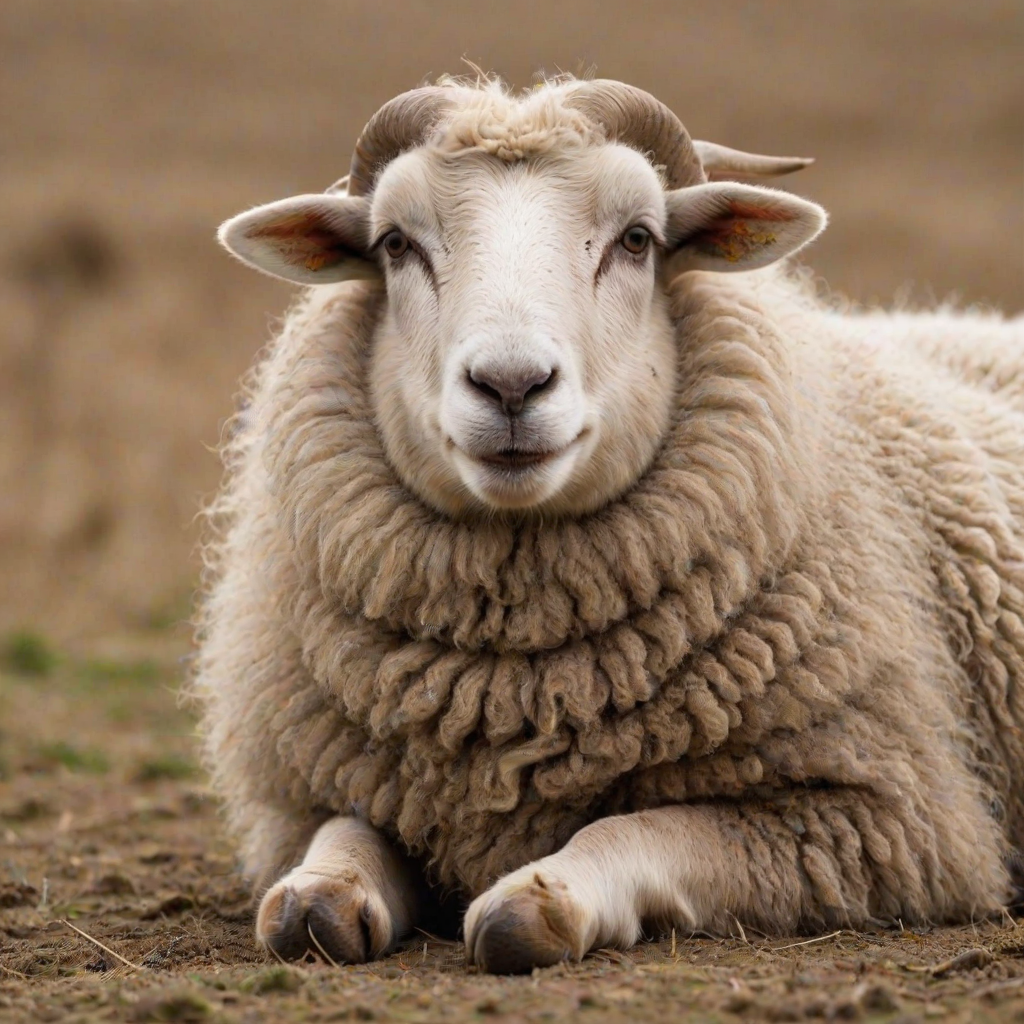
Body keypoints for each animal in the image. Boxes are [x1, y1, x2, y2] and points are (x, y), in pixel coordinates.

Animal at [196, 76, 1024, 974]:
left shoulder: (875, 820)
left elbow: (634, 833)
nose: (511, 385)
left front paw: (541, 898)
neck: (512, 689)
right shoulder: (316, 789)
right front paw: (322, 891)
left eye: (636, 240)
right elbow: (329, 859)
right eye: (394, 244)